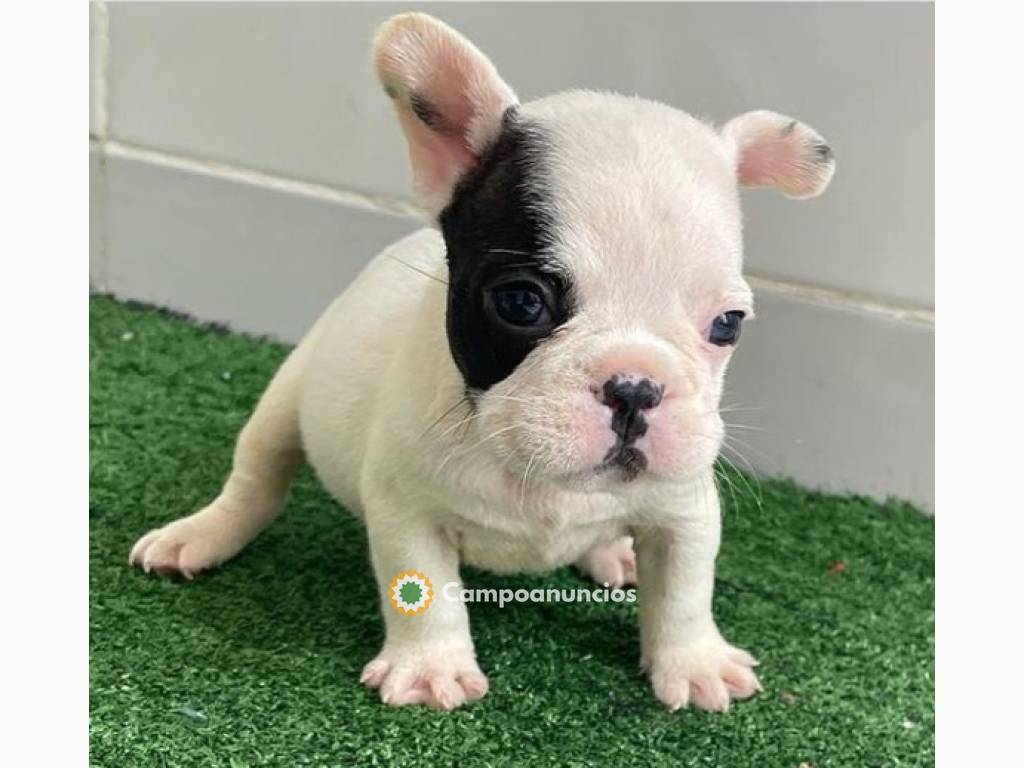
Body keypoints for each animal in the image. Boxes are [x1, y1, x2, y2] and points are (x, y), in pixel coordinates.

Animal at [130, 12, 831, 716]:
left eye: (727, 324)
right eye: (521, 302)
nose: (635, 389)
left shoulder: (684, 509)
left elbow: (686, 590)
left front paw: (694, 662)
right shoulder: (405, 507)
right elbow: (424, 591)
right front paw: (430, 669)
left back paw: (613, 555)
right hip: (287, 398)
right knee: (258, 476)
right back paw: (200, 535)